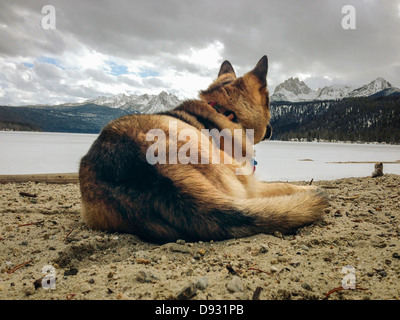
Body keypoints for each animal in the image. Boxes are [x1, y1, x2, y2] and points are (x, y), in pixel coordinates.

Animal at [79, 56, 328, 244]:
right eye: (269, 103)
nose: (272, 128)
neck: (226, 113)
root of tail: (146, 169)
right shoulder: (250, 183)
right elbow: (283, 185)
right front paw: (306, 188)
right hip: (241, 185)